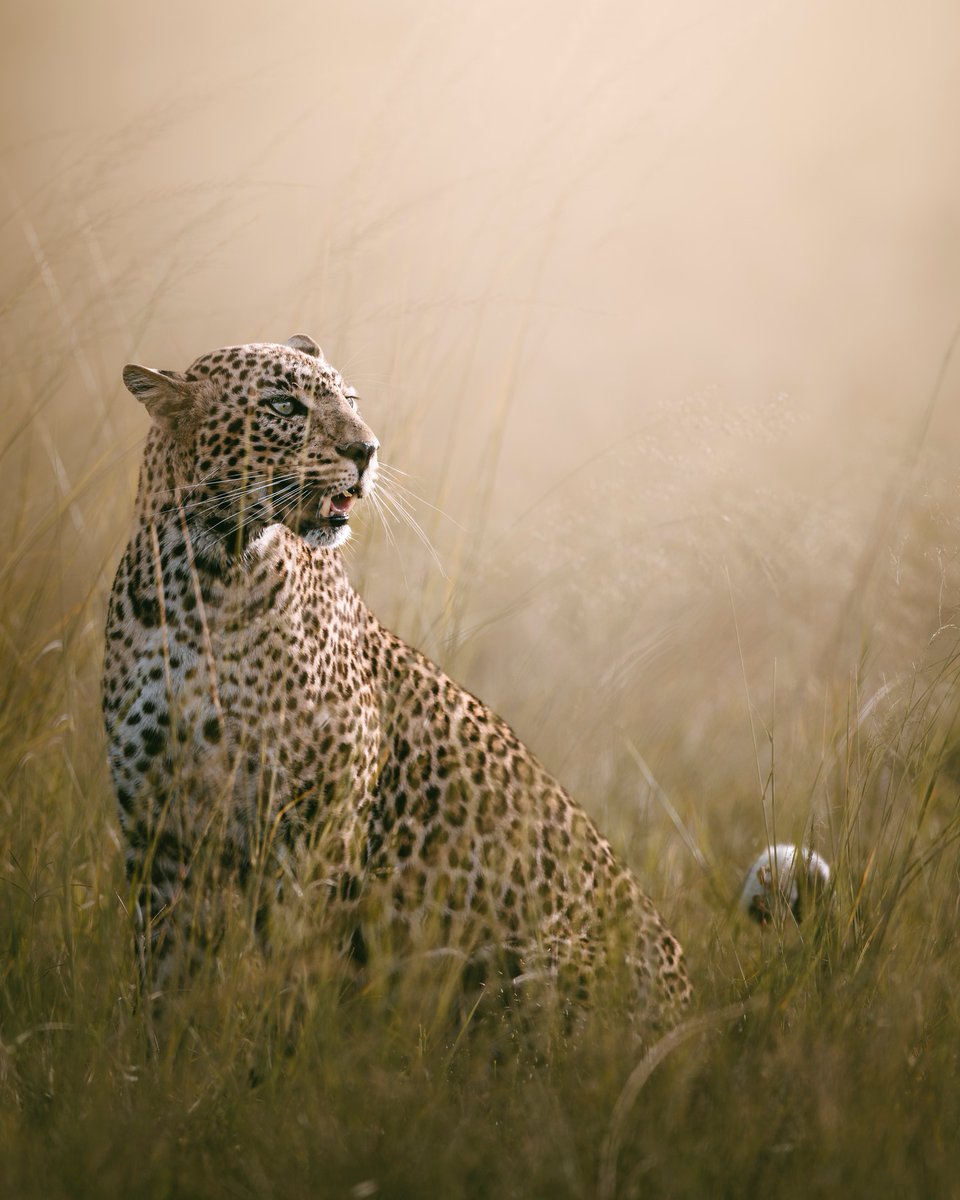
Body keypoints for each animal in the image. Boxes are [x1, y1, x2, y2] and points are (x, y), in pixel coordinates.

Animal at [102, 334, 690, 1028]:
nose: (367, 450)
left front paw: (278, 1048)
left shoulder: (317, 830)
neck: (203, 580)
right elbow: (166, 980)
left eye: (351, 400)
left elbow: (292, 971)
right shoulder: (157, 829)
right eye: (283, 405)